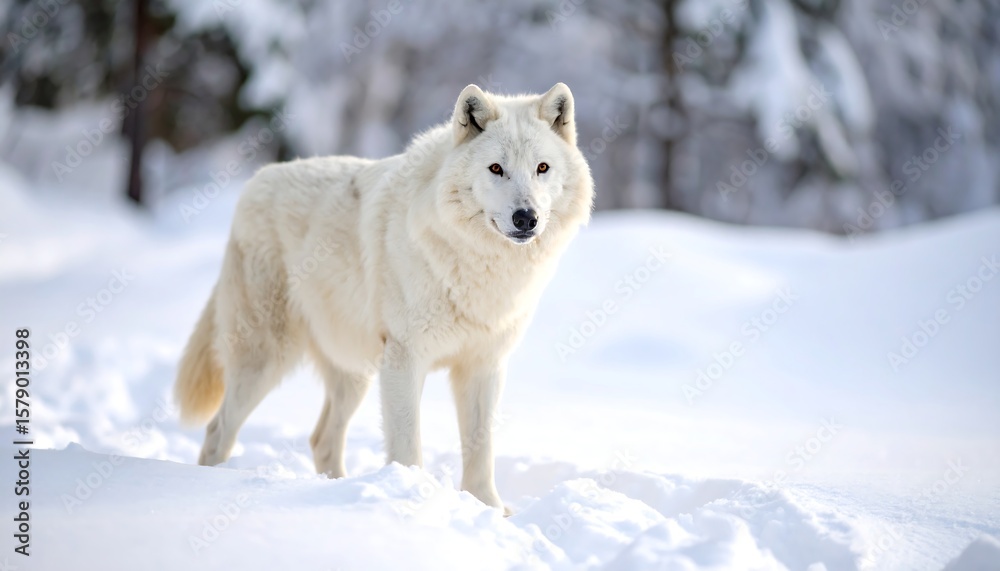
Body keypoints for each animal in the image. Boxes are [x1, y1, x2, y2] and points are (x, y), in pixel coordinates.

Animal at [174, 83, 594, 509]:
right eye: (496, 169)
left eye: (542, 168)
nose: (526, 218)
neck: (480, 266)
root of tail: (254, 182)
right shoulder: (405, 359)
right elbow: (408, 445)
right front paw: (415, 497)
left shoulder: (483, 365)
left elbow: (481, 448)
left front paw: (487, 507)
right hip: (265, 360)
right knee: (217, 431)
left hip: (354, 373)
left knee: (321, 439)